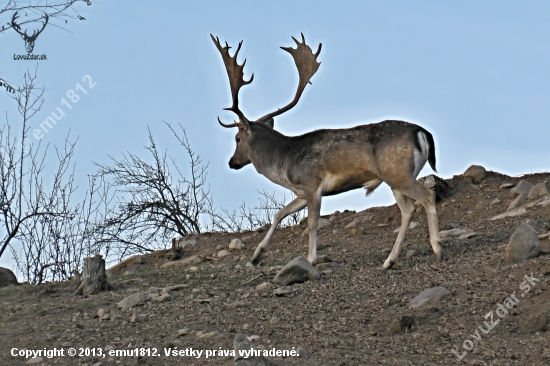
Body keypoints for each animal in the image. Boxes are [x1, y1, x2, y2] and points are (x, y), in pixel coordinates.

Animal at [211, 33, 444, 268]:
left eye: (237, 138)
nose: (232, 162)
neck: (285, 163)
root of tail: (423, 132)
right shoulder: (301, 192)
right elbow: (279, 214)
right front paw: (256, 255)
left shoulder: (312, 183)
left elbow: (312, 223)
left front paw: (311, 258)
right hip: (396, 177)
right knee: (408, 210)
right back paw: (389, 260)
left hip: (397, 172)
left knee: (427, 196)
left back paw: (437, 247)